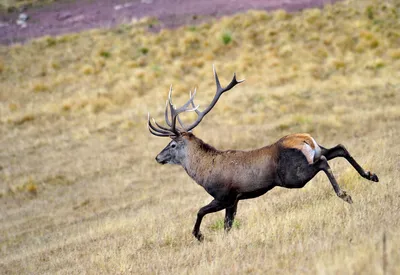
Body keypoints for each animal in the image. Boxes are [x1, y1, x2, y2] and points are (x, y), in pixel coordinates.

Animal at [147, 66, 378, 242]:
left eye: (172, 144)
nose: (157, 157)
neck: (203, 172)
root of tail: (305, 138)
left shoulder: (224, 195)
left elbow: (201, 211)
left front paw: (199, 236)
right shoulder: (235, 200)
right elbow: (227, 225)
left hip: (292, 175)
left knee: (322, 162)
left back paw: (345, 194)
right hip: (315, 151)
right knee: (338, 148)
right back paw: (370, 175)